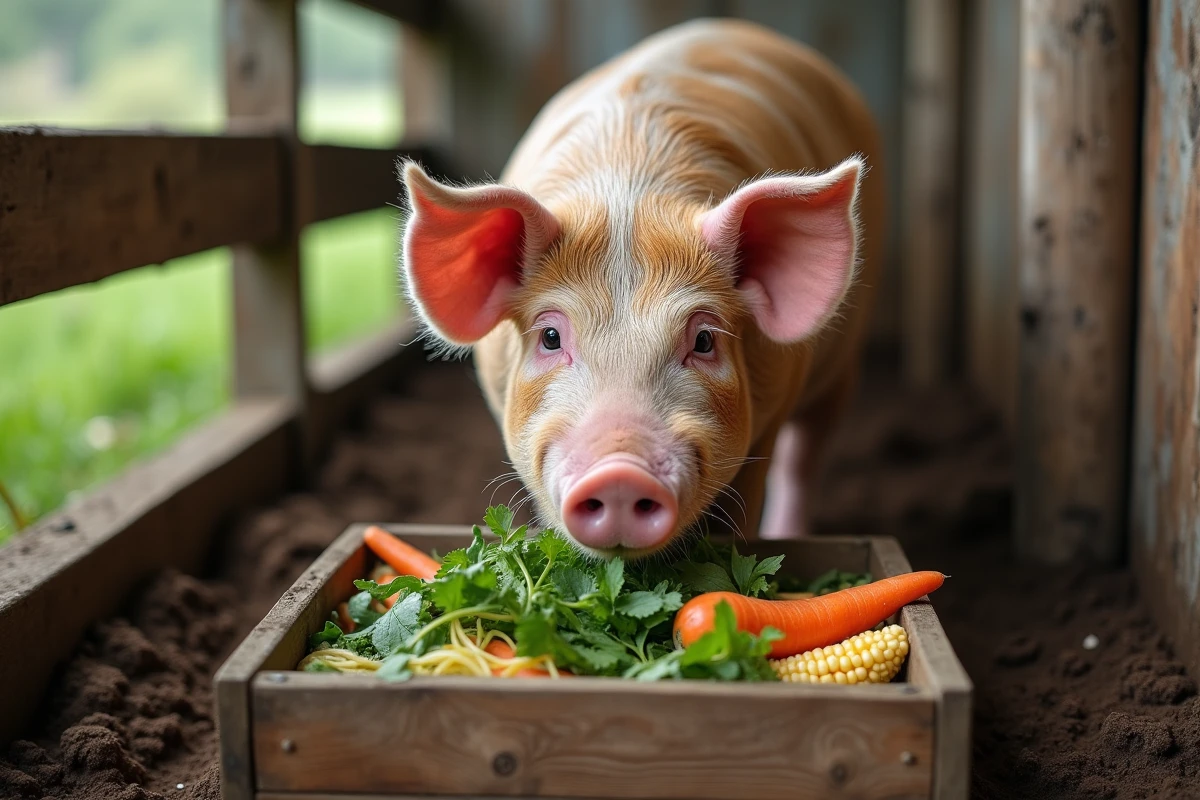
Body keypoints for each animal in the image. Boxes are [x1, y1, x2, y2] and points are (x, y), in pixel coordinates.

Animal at [400, 18, 885, 558]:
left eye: (704, 340)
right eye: (550, 337)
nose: (619, 473)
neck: (626, 188)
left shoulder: (771, 415)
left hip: (842, 363)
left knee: (804, 458)